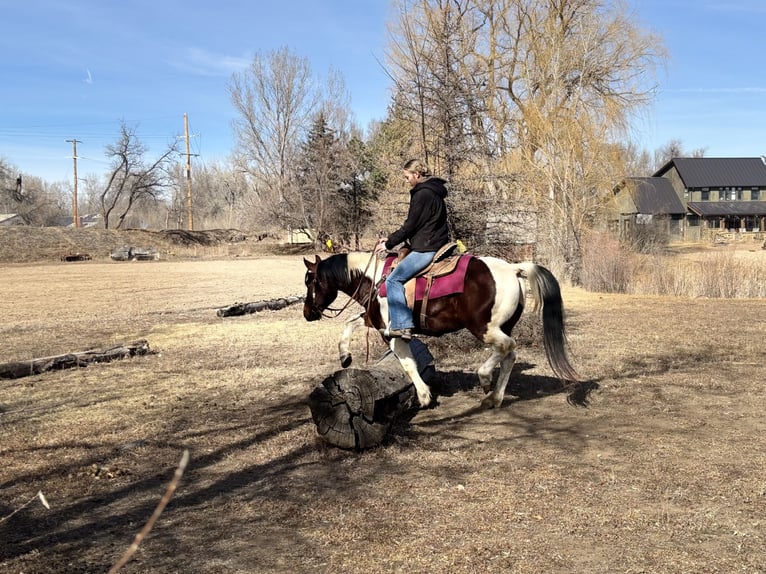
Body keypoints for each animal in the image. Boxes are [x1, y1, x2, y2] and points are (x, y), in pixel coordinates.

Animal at [303, 251, 579, 409]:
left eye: (311, 281)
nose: (307, 313)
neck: (375, 279)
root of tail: (512, 268)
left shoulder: (391, 333)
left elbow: (408, 364)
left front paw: (424, 396)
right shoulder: (375, 322)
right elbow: (349, 322)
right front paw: (345, 357)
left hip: (484, 328)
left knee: (507, 348)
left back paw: (485, 378)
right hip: (502, 327)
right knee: (509, 356)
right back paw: (494, 398)